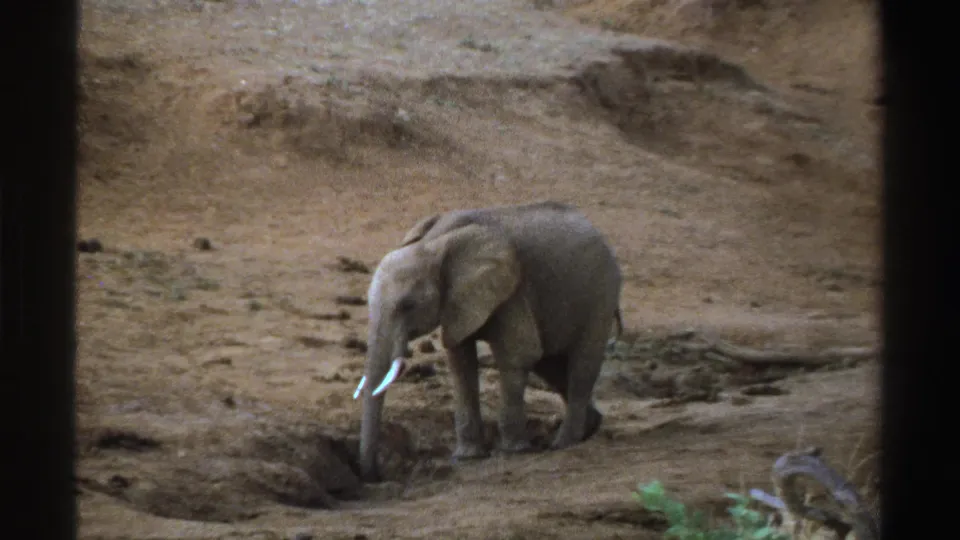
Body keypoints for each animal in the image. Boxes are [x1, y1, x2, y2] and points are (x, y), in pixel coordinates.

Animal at [352, 201, 623, 482]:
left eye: (408, 305)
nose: (375, 474)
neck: (433, 244)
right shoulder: (458, 301)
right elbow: (460, 361)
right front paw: (466, 457)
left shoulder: (511, 290)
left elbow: (518, 353)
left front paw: (513, 452)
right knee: (552, 366)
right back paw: (590, 427)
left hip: (601, 295)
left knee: (581, 365)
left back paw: (563, 443)